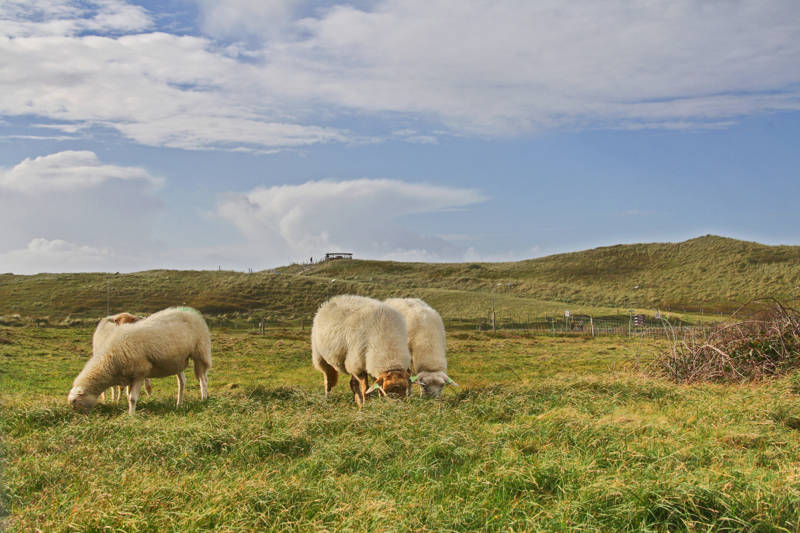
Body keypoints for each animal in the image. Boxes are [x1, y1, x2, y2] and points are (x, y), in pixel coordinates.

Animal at [69, 306, 212, 414]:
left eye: (75, 402)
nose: (81, 418)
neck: (110, 360)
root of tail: (192, 312)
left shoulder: (139, 373)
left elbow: (132, 398)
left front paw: (131, 416)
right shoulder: (130, 377)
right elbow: (128, 396)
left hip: (200, 352)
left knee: (203, 380)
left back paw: (203, 400)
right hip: (177, 361)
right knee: (182, 382)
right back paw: (179, 404)